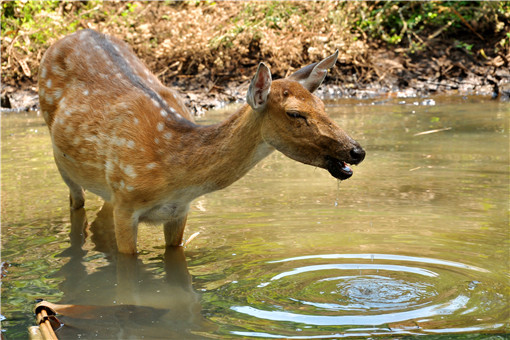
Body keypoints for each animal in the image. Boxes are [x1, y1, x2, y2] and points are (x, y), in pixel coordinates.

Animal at [40, 29, 366, 254]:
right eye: (295, 114)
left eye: (322, 106)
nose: (356, 151)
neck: (172, 173)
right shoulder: (125, 203)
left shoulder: (179, 211)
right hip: (61, 159)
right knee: (76, 202)